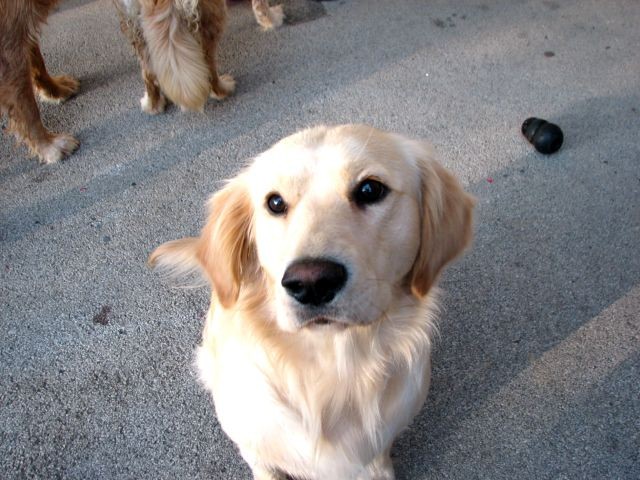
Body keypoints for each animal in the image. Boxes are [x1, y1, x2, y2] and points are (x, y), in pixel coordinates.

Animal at [151, 124, 476, 480]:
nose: (311, 283)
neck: (330, 367)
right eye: (275, 202)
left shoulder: (377, 448)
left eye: (370, 189)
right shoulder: (256, 448)